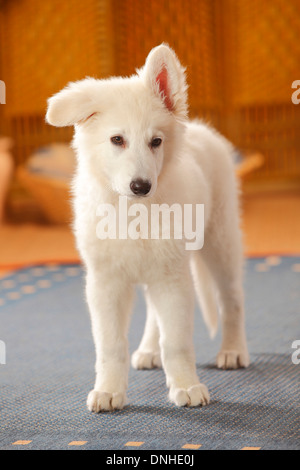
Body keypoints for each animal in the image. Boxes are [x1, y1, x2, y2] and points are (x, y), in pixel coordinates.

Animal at [46, 44, 248, 412]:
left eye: (156, 141)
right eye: (117, 140)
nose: (141, 186)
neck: (134, 213)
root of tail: (201, 129)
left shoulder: (173, 277)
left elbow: (177, 341)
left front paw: (186, 386)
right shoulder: (106, 282)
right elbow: (111, 345)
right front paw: (109, 391)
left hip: (220, 238)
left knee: (232, 298)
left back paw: (233, 351)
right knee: (155, 313)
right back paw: (150, 350)